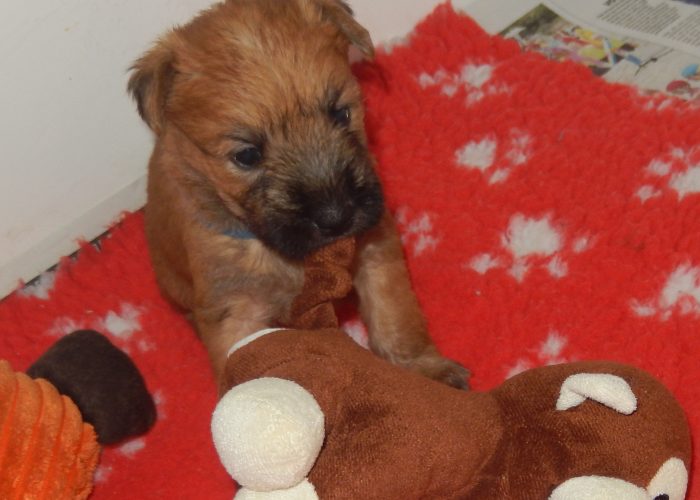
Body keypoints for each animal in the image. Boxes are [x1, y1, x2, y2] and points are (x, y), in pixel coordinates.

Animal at [129, 0, 468, 390]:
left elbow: (393, 314)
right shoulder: (236, 310)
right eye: (247, 155)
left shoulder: (375, 245)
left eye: (341, 114)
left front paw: (425, 371)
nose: (336, 217)